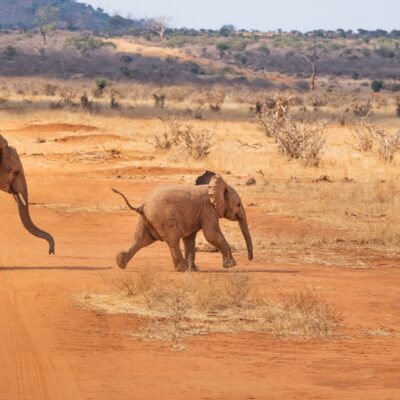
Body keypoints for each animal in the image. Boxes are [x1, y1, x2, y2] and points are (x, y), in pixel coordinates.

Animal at [112, 172, 253, 272]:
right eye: (238, 204)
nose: (250, 259)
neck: (212, 187)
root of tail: (143, 205)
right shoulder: (209, 210)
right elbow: (211, 235)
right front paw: (231, 266)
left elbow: (190, 239)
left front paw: (195, 270)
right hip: (165, 217)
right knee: (173, 240)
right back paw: (183, 269)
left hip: (147, 219)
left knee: (141, 239)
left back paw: (120, 263)